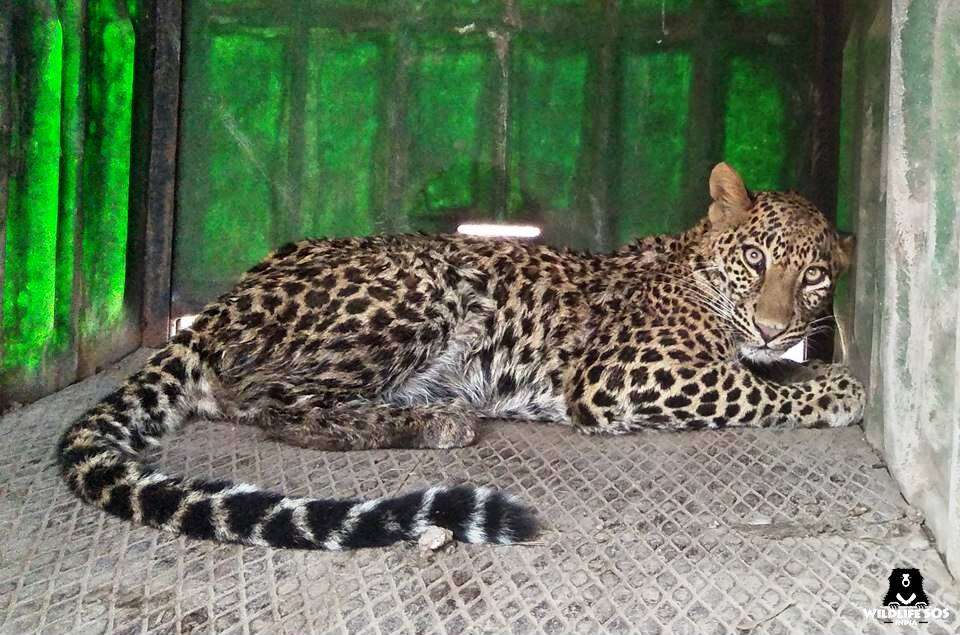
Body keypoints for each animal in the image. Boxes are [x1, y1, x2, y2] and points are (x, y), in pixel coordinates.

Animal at [58, 163, 864, 552]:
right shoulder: (621, 376)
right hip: (425, 281)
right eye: (756, 260)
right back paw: (436, 420)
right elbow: (751, 390)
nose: (774, 326)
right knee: (267, 400)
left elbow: (768, 372)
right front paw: (840, 391)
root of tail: (225, 302)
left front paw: (808, 363)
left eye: (814, 277)